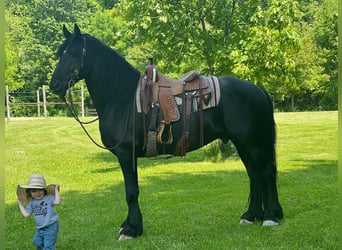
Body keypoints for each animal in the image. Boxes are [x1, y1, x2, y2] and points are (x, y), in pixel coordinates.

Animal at [48, 24, 284, 240]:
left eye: (73, 53)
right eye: (61, 53)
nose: (54, 85)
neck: (123, 98)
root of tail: (259, 89)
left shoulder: (126, 153)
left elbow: (131, 192)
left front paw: (132, 229)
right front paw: (130, 225)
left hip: (254, 143)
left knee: (266, 172)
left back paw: (271, 216)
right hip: (242, 143)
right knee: (254, 174)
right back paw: (251, 215)